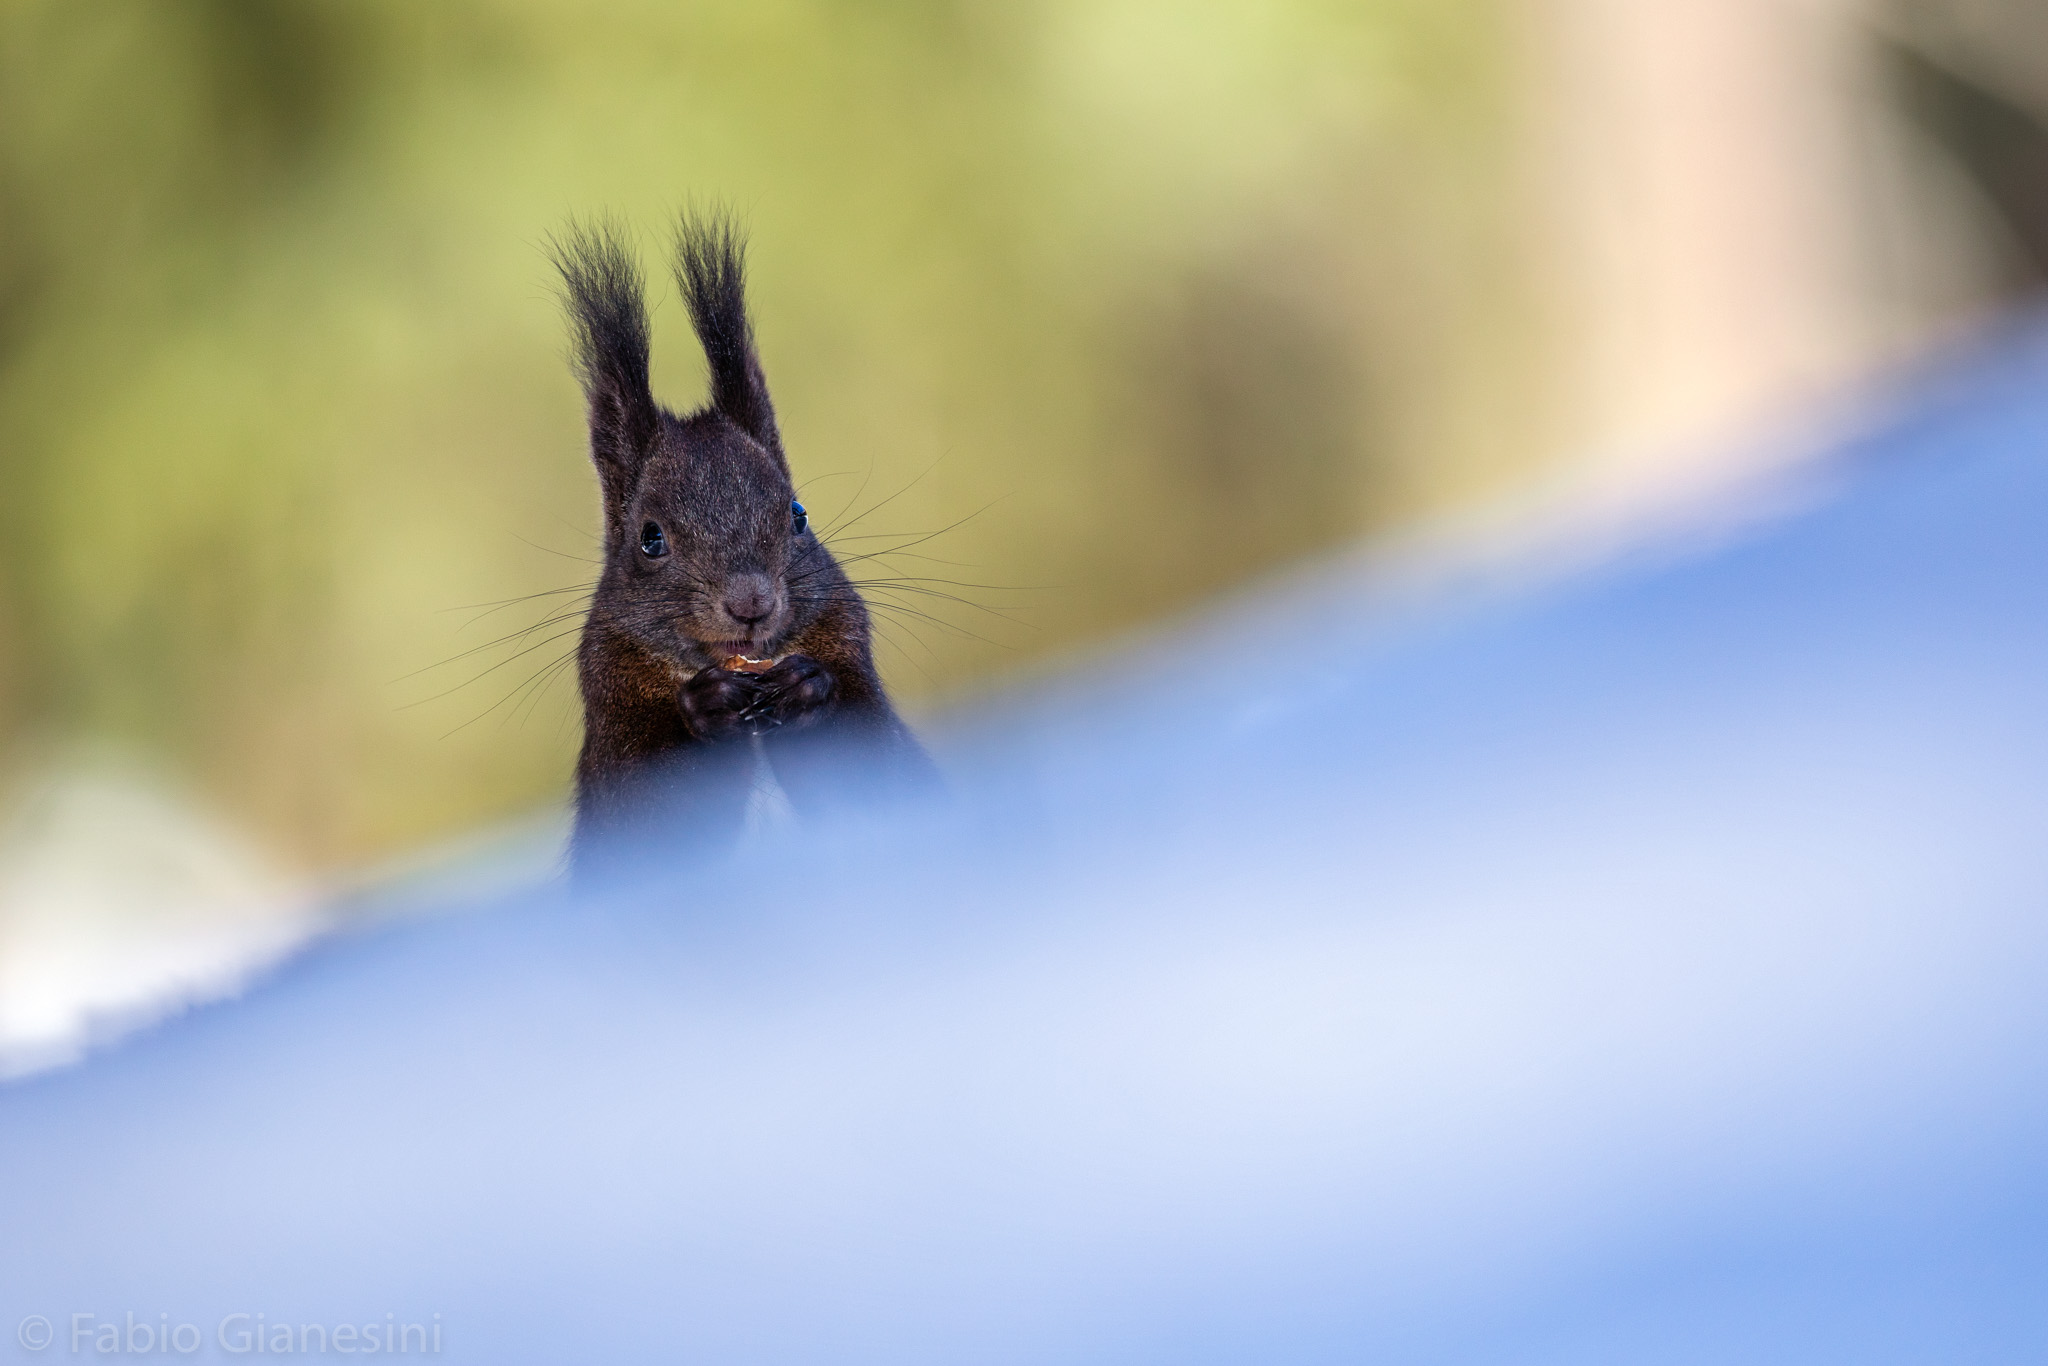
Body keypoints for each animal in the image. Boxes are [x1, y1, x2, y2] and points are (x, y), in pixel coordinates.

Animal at [549, 214, 932, 873]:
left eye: (798, 516)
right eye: (650, 539)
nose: (751, 602)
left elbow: (882, 775)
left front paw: (808, 690)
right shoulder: (617, 737)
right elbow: (653, 815)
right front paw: (708, 706)